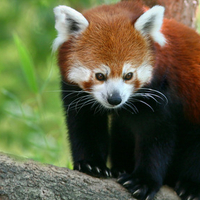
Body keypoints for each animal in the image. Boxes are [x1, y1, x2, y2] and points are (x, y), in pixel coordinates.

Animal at [53, 0, 200, 200]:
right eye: (100, 76)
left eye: (128, 75)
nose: (115, 99)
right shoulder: (77, 92)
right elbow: (85, 124)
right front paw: (91, 164)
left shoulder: (161, 91)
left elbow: (156, 136)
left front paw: (143, 181)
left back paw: (191, 187)